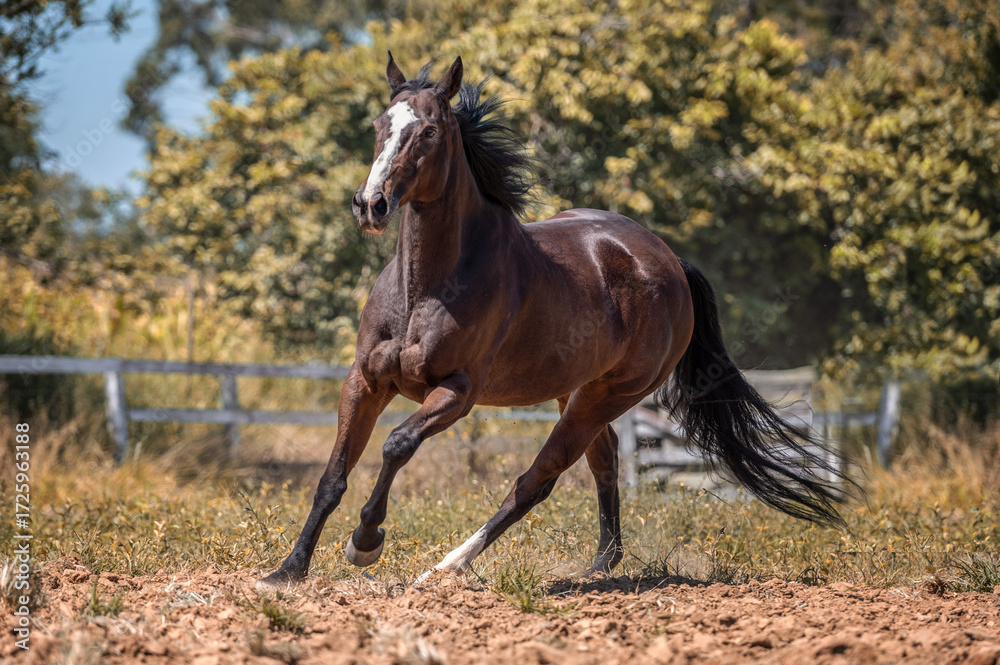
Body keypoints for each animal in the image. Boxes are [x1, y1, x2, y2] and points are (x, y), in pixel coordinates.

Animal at [258, 53, 846, 589]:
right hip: (577, 391)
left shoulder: (457, 393)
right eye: (381, 125)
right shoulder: (366, 381)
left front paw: (366, 542)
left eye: (428, 130)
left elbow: (397, 444)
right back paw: (601, 564)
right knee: (603, 461)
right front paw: (286, 572)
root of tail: (670, 263)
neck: (425, 289)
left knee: (537, 480)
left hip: (607, 396)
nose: (370, 204)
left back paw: (447, 567)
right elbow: (333, 476)